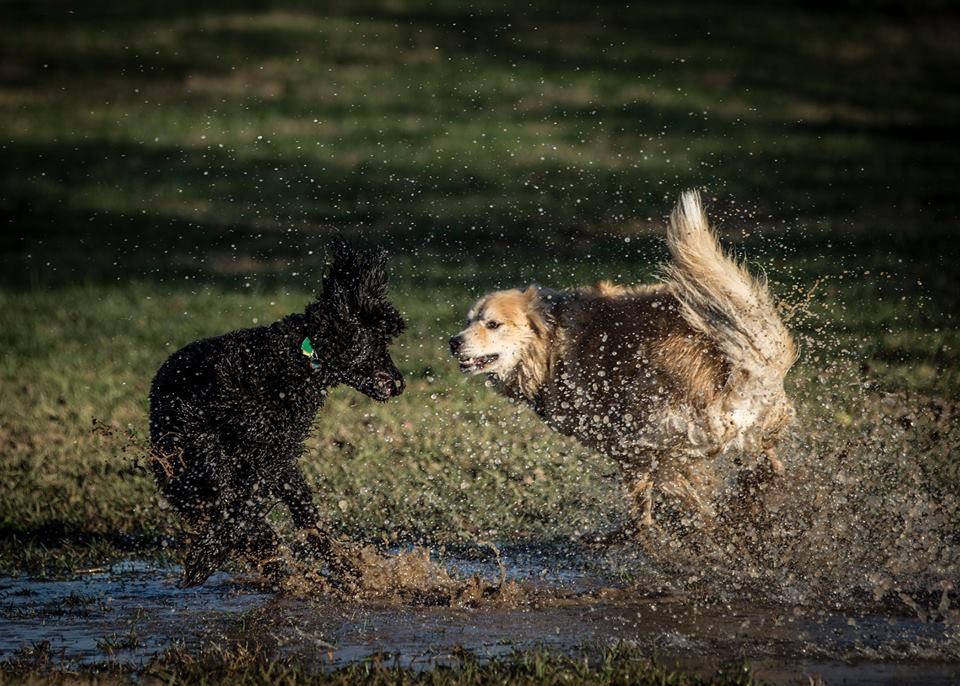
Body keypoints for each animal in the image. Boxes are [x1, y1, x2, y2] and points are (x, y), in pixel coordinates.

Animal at [148, 245, 404, 588]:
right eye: (379, 339)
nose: (400, 383)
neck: (297, 357)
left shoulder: (273, 457)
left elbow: (247, 509)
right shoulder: (244, 457)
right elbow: (236, 510)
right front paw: (207, 556)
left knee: (303, 520)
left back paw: (338, 567)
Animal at [450, 192, 796, 536]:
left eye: (492, 324)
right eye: (468, 322)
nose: (454, 342)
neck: (550, 343)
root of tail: (740, 370)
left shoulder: (623, 444)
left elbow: (646, 500)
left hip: (652, 430)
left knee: (687, 498)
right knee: (763, 464)